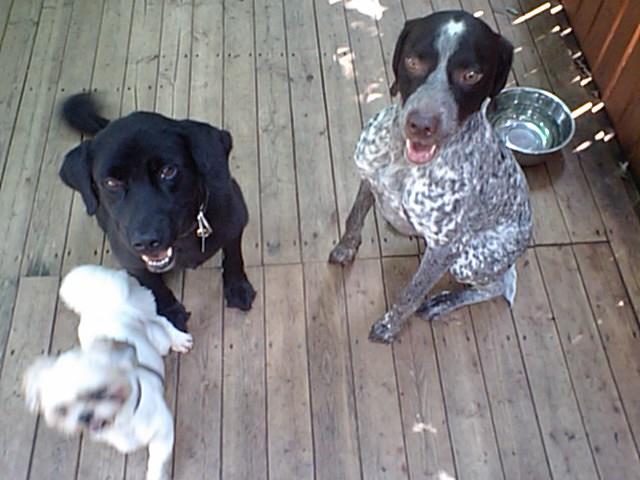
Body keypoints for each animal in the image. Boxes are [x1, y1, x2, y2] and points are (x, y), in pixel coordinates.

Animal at [23, 265, 193, 480]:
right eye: (61, 410)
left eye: (100, 392)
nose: (85, 416)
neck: (120, 422)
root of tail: (104, 300)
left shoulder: (163, 431)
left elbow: (156, 463)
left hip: (149, 319)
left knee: (161, 320)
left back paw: (178, 339)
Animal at [59, 94, 256, 331]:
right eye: (111, 182)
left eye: (168, 171)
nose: (145, 241)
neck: (184, 238)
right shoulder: (133, 261)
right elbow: (154, 286)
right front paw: (169, 312)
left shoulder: (236, 223)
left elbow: (234, 257)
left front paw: (237, 287)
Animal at [329, 10, 532, 343]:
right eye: (413, 61)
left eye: (471, 75)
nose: (422, 125)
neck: (404, 161)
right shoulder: (370, 179)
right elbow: (353, 218)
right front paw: (346, 249)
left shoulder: (444, 248)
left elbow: (411, 293)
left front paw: (389, 326)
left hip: (470, 259)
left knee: (496, 286)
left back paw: (446, 301)